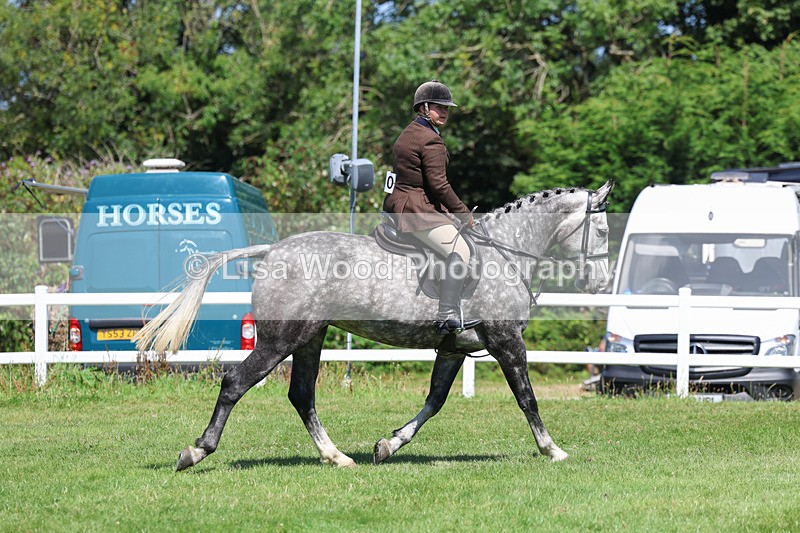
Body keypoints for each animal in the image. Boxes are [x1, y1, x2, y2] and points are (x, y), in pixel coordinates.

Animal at [134, 181, 614, 470]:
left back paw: (336, 457)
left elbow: (435, 400)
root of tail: (273, 250)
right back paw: (196, 451)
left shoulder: (455, 347)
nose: (601, 284)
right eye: (604, 231)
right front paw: (552, 449)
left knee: (301, 395)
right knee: (235, 382)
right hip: (280, 339)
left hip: (310, 337)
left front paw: (389, 444)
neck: (505, 252)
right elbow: (527, 398)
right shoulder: (506, 341)